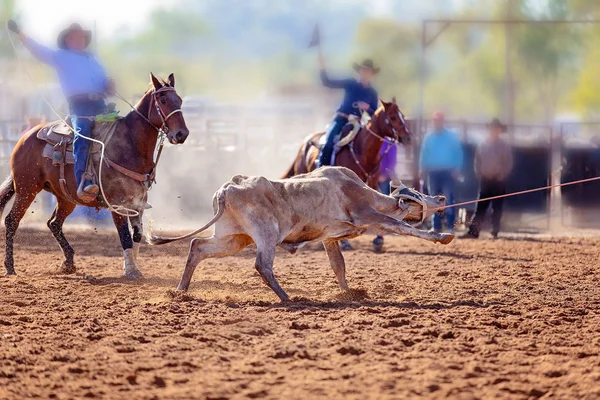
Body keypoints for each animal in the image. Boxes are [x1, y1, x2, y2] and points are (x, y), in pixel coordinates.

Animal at [0, 72, 190, 278]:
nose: (182, 134)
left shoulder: (137, 202)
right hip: (27, 188)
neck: (130, 144)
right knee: (12, 221)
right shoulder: (118, 203)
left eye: (179, 100)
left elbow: (137, 235)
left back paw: (68, 262)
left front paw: (130, 267)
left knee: (54, 223)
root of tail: (25, 137)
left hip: (66, 198)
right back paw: (10, 267)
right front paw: (131, 271)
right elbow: (125, 236)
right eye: (163, 100)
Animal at [150, 165, 454, 300]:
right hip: (265, 234)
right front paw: (442, 237)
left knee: (197, 246)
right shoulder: (367, 215)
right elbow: (404, 228)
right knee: (262, 264)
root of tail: (228, 188)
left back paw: (180, 291)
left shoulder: (330, 238)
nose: (441, 197)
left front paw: (349, 293)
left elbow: (338, 266)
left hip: (232, 239)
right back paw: (288, 298)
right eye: (417, 193)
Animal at [282, 98, 412, 252]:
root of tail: (305, 143)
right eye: (392, 117)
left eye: (402, 116)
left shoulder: (372, 183)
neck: (362, 151)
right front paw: (344, 242)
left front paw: (379, 239)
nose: (408, 138)